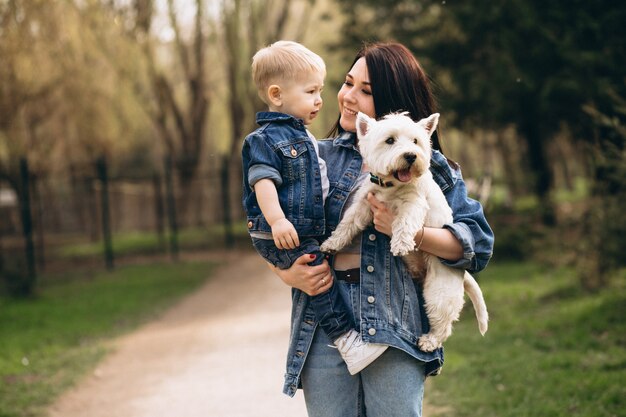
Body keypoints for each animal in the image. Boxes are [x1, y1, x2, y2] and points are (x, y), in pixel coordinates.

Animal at [322, 111, 488, 352]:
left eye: (415, 141)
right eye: (390, 140)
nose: (410, 156)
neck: (390, 185)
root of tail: (463, 273)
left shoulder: (414, 203)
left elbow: (404, 223)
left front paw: (400, 244)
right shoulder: (364, 203)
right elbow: (348, 222)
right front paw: (332, 243)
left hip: (439, 289)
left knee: (443, 322)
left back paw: (429, 341)